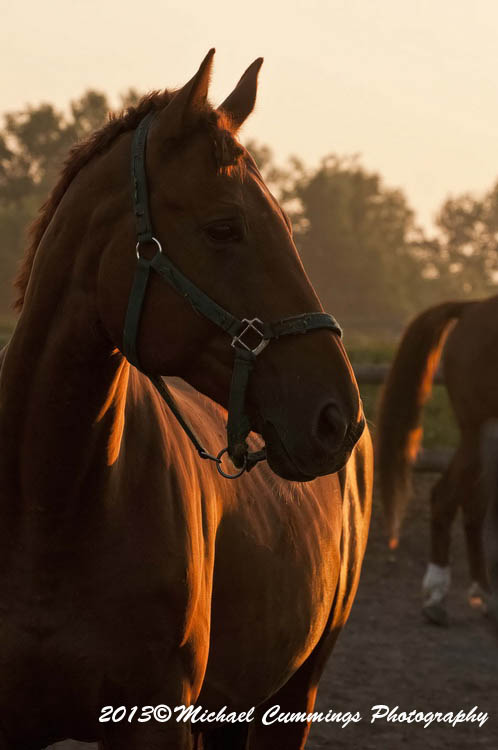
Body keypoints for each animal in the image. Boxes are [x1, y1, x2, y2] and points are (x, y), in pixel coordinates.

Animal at [376, 295, 498, 626]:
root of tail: (473, 307)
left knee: (472, 506)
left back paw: (486, 596)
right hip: (478, 430)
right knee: (447, 496)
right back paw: (436, 597)